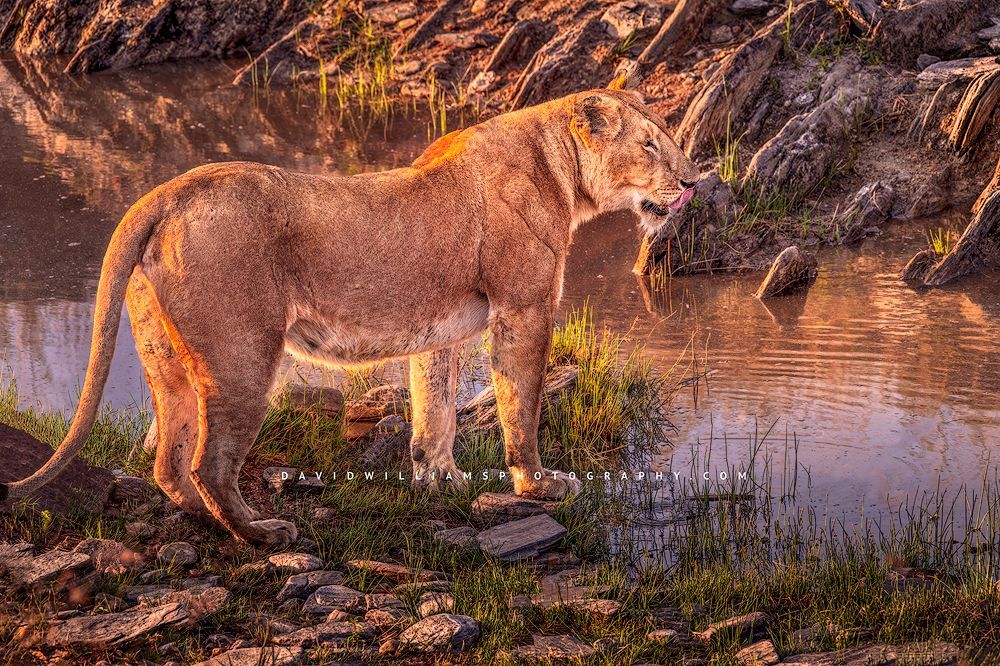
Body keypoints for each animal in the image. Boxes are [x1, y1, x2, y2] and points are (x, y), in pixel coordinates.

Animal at [1, 85, 701, 548]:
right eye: (649, 145)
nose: (694, 181)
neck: (562, 172)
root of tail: (165, 192)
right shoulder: (524, 311)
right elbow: (520, 407)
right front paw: (539, 485)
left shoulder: (439, 331)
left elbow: (434, 409)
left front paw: (439, 479)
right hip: (243, 357)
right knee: (208, 463)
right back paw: (263, 533)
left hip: (167, 359)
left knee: (169, 464)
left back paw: (210, 521)